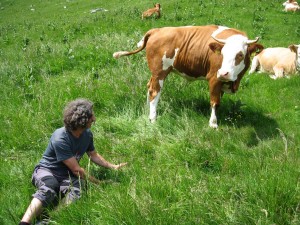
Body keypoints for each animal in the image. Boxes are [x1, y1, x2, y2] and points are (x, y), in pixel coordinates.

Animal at [112, 25, 262, 127]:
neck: (234, 81)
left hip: (155, 73)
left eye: (240, 54)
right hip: (160, 72)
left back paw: (147, 108)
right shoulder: (214, 78)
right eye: (222, 53)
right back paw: (153, 118)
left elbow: (219, 100)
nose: (224, 73)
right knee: (155, 92)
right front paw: (213, 124)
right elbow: (215, 102)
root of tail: (157, 30)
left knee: (149, 88)